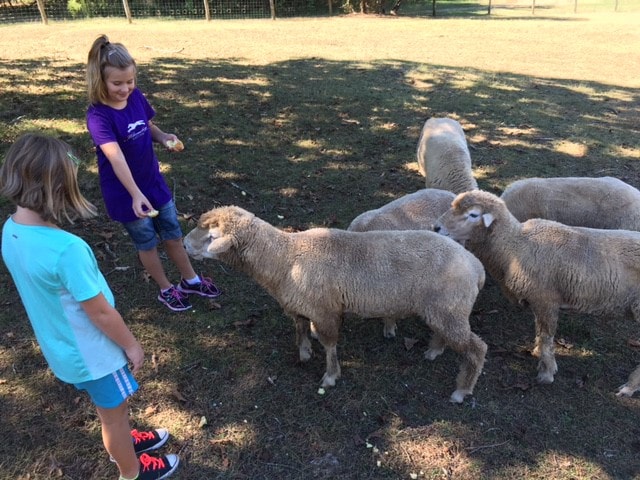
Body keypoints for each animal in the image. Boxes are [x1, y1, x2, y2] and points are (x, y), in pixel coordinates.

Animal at [186, 204, 490, 404]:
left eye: (212, 237)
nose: (186, 245)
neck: (284, 258)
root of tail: (476, 267)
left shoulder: (324, 310)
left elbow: (330, 344)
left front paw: (330, 376)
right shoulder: (299, 304)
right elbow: (300, 329)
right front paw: (304, 353)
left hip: (450, 307)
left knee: (476, 348)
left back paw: (461, 391)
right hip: (444, 309)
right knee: (446, 333)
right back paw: (434, 351)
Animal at [432, 189, 640, 396]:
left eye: (473, 215)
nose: (436, 227)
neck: (515, 247)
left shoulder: (546, 299)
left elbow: (547, 336)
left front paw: (546, 373)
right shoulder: (536, 299)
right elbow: (539, 332)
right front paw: (538, 353)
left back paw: (628, 388)